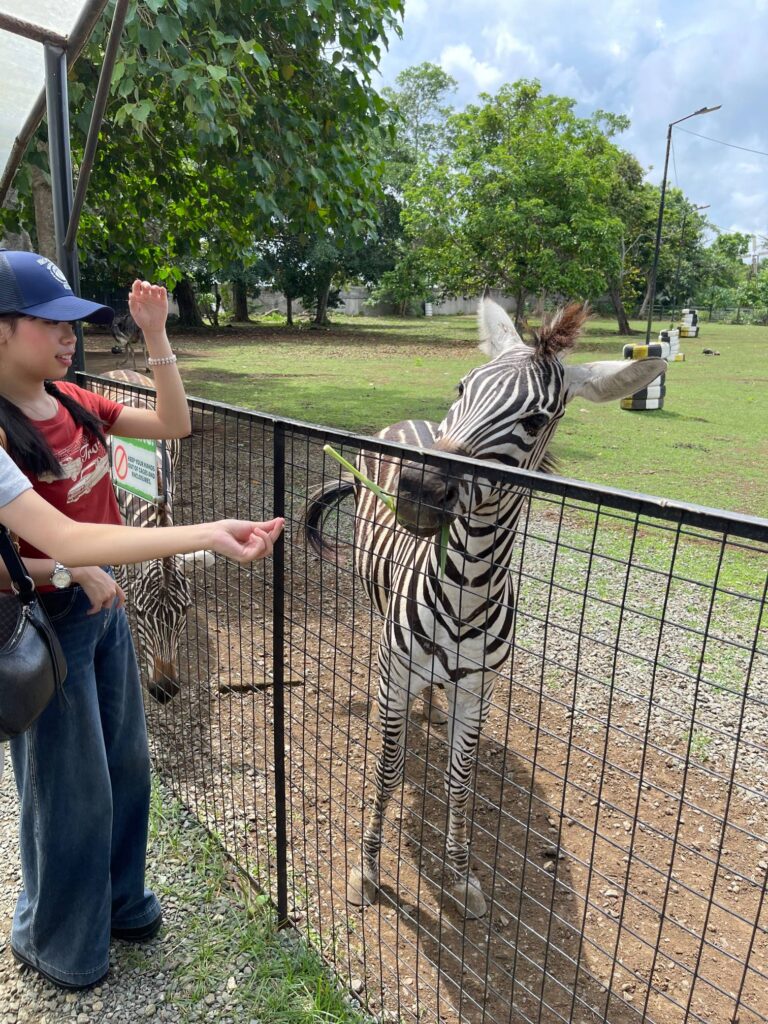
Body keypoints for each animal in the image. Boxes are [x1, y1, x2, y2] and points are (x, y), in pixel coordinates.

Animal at [303, 296, 663, 921]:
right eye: (462, 386)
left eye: (535, 422)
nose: (420, 490)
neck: (465, 590)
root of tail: (409, 422)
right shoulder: (397, 671)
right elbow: (389, 769)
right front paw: (367, 869)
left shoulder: (479, 690)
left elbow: (460, 783)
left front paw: (462, 876)